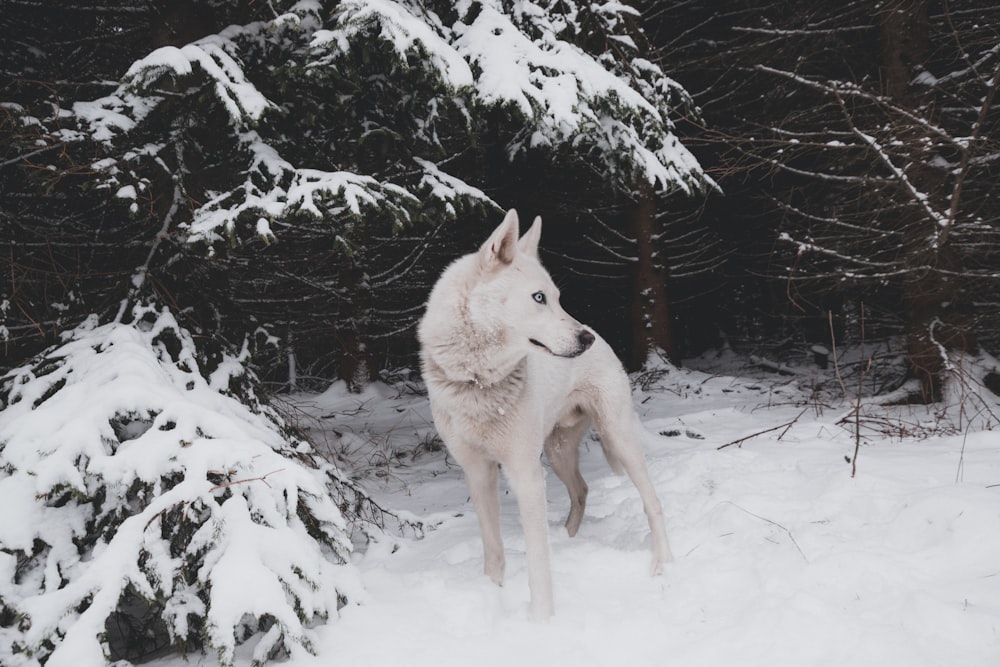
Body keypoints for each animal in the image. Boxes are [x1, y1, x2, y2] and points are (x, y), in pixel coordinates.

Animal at [416, 210, 672, 620]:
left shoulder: (525, 474)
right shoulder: (478, 472)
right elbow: (494, 551)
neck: (478, 382)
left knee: (653, 503)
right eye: (539, 298)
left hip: (616, 439)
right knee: (581, 490)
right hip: (556, 451)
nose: (586, 339)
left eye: (557, 299)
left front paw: (541, 620)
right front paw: (493, 598)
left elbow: (538, 562)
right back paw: (569, 538)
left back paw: (662, 564)